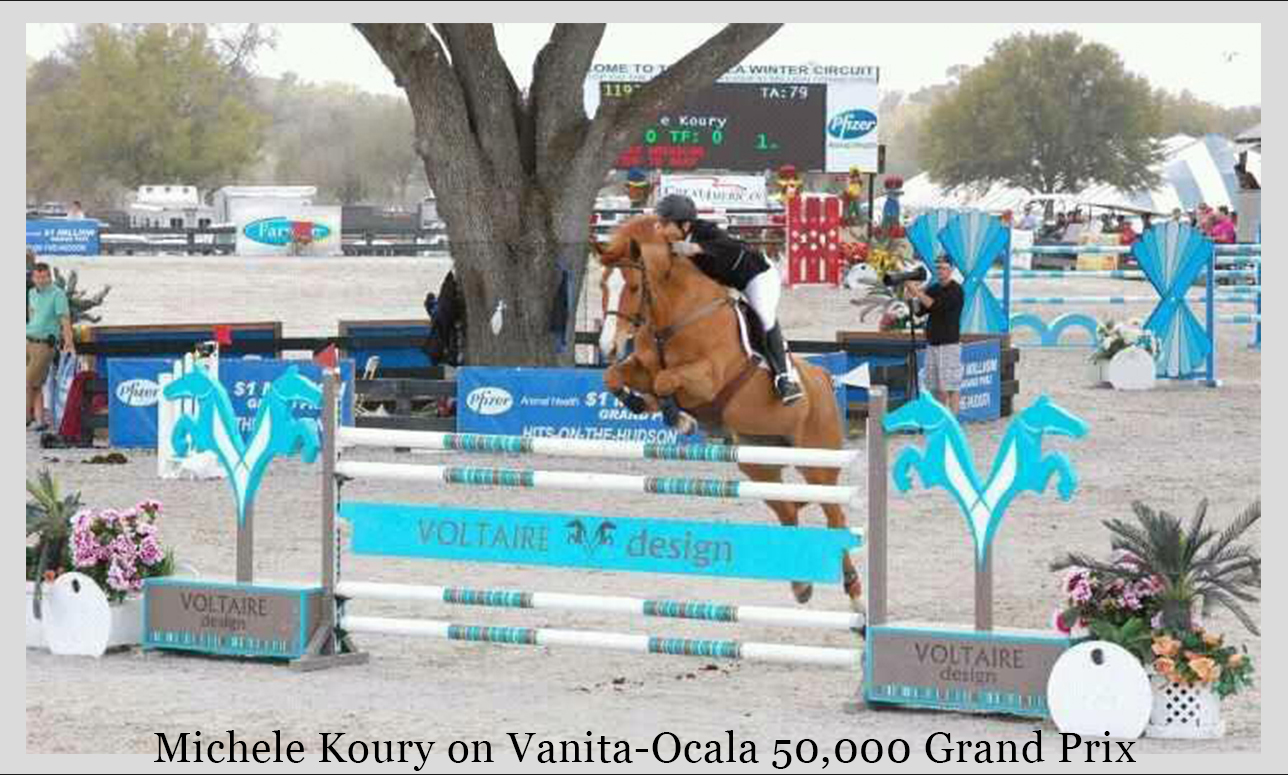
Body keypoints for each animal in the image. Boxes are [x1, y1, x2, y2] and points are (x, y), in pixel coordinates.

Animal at [592, 215, 863, 613]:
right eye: (601, 285)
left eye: (634, 286)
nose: (608, 346)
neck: (673, 316)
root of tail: (824, 378)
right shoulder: (639, 366)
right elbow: (615, 377)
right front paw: (645, 405)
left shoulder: (706, 379)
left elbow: (664, 379)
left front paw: (678, 416)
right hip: (758, 463)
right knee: (788, 511)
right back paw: (801, 586)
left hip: (817, 464)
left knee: (835, 518)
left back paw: (856, 596)